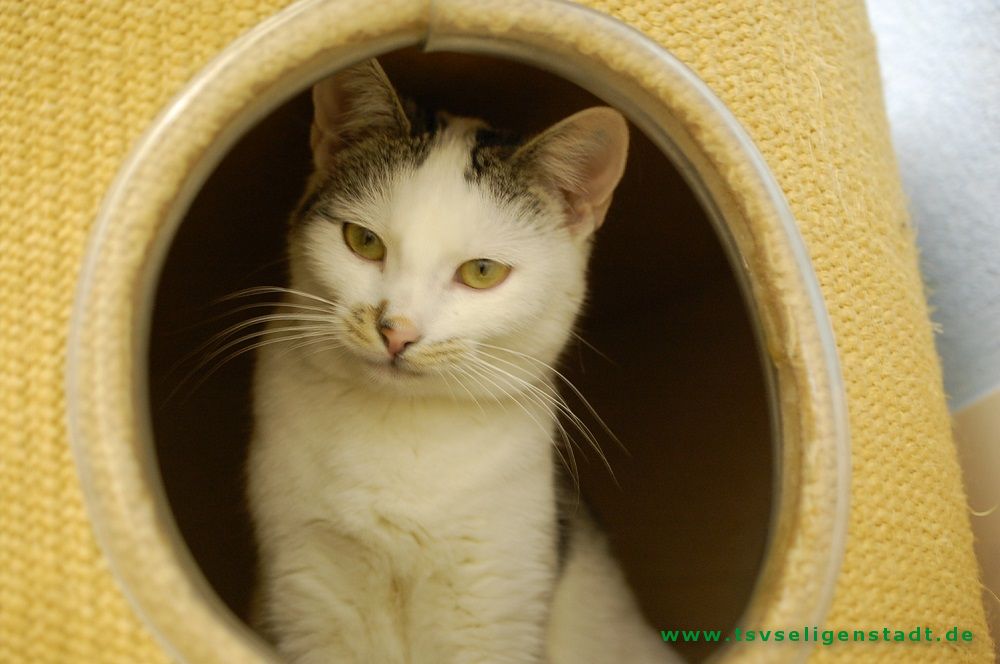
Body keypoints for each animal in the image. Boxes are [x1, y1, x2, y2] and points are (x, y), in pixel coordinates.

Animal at [246, 58, 680, 664]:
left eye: (481, 272)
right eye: (363, 241)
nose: (397, 330)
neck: (400, 435)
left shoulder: (497, 594)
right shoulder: (307, 583)